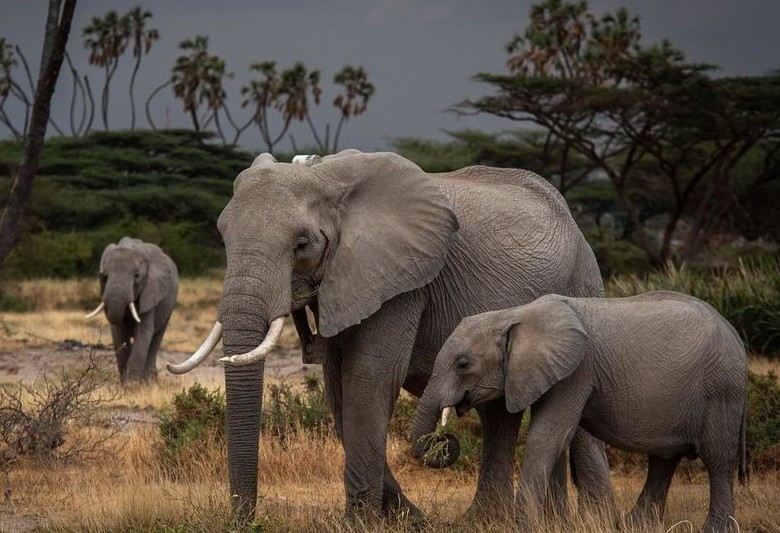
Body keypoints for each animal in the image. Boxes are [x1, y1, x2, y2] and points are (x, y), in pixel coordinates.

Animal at [86, 237, 178, 385]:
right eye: (104, 276)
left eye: (136, 276)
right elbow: (118, 333)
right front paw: (124, 385)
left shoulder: (151, 291)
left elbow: (143, 332)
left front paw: (132, 386)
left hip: (169, 306)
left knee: (155, 340)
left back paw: (149, 382)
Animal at [166, 149, 614, 522]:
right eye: (222, 236)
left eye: (302, 244)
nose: (245, 522)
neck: (325, 176)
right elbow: (338, 388)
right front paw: (406, 519)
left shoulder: (401, 284)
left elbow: (369, 379)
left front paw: (361, 524)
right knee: (498, 416)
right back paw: (488, 520)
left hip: (583, 283)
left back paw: (593, 519)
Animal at [412, 290, 748, 533]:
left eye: (463, 364)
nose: (444, 439)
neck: (515, 314)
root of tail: (735, 334)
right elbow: (556, 440)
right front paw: (556, 525)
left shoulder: (575, 373)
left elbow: (546, 437)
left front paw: (524, 525)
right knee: (663, 460)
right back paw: (631, 526)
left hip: (722, 392)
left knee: (717, 459)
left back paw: (714, 529)